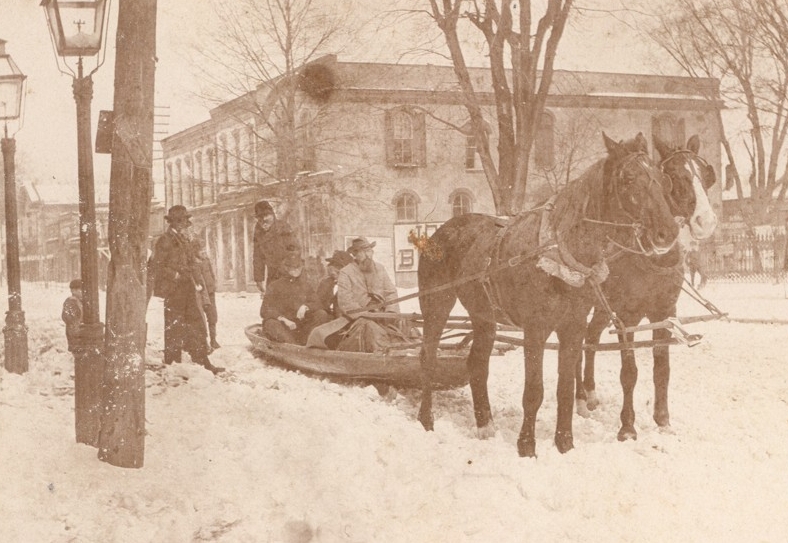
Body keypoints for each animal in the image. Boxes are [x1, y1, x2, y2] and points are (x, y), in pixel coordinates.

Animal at [416, 133, 680, 460]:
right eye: (629, 178)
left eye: (662, 178)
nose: (668, 232)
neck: (558, 254)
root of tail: (438, 234)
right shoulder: (535, 330)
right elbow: (534, 391)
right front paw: (527, 445)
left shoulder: (573, 327)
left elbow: (564, 388)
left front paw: (565, 443)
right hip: (436, 306)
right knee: (428, 359)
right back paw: (426, 419)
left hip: (483, 316)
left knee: (477, 364)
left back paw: (485, 424)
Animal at [576, 135, 716, 442]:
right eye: (675, 176)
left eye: (706, 174)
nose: (706, 221)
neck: (651, 261)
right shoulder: (626, 318)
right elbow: (629, 371)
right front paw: (627, 426)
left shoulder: (664, 313)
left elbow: (662, 369)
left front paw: (663, 421)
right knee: (578, 341)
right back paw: (579, 397)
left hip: (602, 308)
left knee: (591, 337)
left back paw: (589, 393)